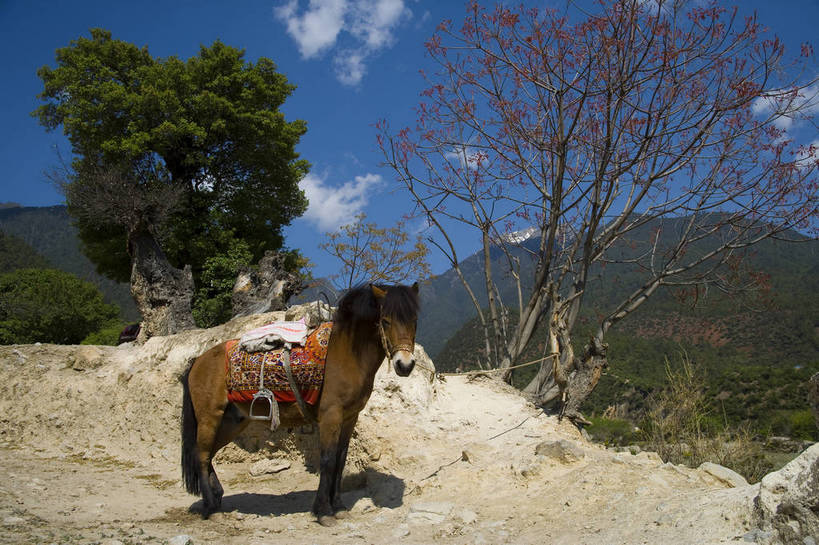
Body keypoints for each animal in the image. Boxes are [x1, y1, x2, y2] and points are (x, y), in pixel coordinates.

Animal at [180, 283, 420, 526]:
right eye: (386, 320)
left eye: (414, 320)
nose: (405, 365)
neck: (348, 355)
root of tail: (198, 360)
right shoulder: (331, 416)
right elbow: (328, 460)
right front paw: (323, 511)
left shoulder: (350, 417)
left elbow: (341, 460)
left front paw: (339, 506)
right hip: (210, 417)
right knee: (201, 455)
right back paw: (212, 508)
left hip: (232, 421)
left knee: (208, 453)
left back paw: (216, 497)